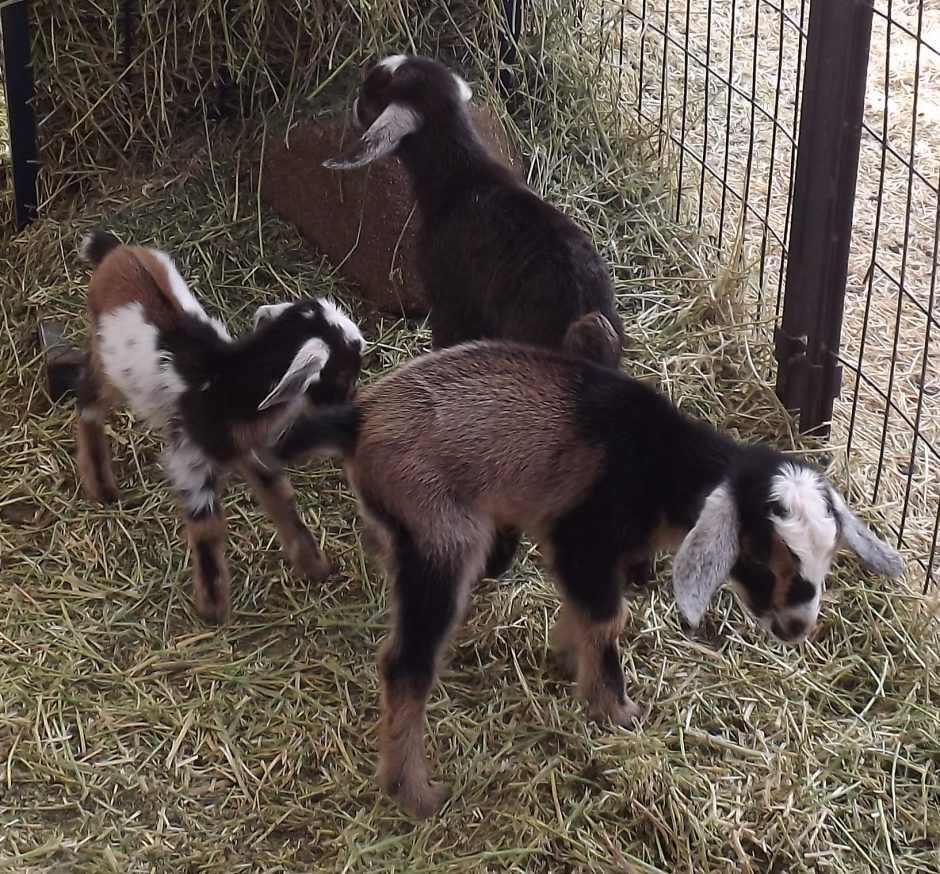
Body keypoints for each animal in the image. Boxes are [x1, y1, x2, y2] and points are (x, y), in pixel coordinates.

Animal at [75, 230, 365, 623]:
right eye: (347, 372)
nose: (351, 406)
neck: (226, 382)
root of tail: (115, 252)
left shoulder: (254, 449)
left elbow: (282, 499)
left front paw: (316, 567)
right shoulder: (189, 463)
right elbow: (207, 529)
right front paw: (214, 610)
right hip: (104, 363)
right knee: (88, 403)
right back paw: (102, 489)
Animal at [274, 340, 903, 818]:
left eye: (827, 555)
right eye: (759, 555)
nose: (798, 627)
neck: (660, 463)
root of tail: (360, 418)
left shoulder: (587, 552)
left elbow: (586, 607)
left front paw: (566, 656)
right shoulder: (582, 535)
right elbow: (607, 615)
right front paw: (613, 709)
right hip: (442, 532)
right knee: (404, 662)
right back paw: (414, 791)